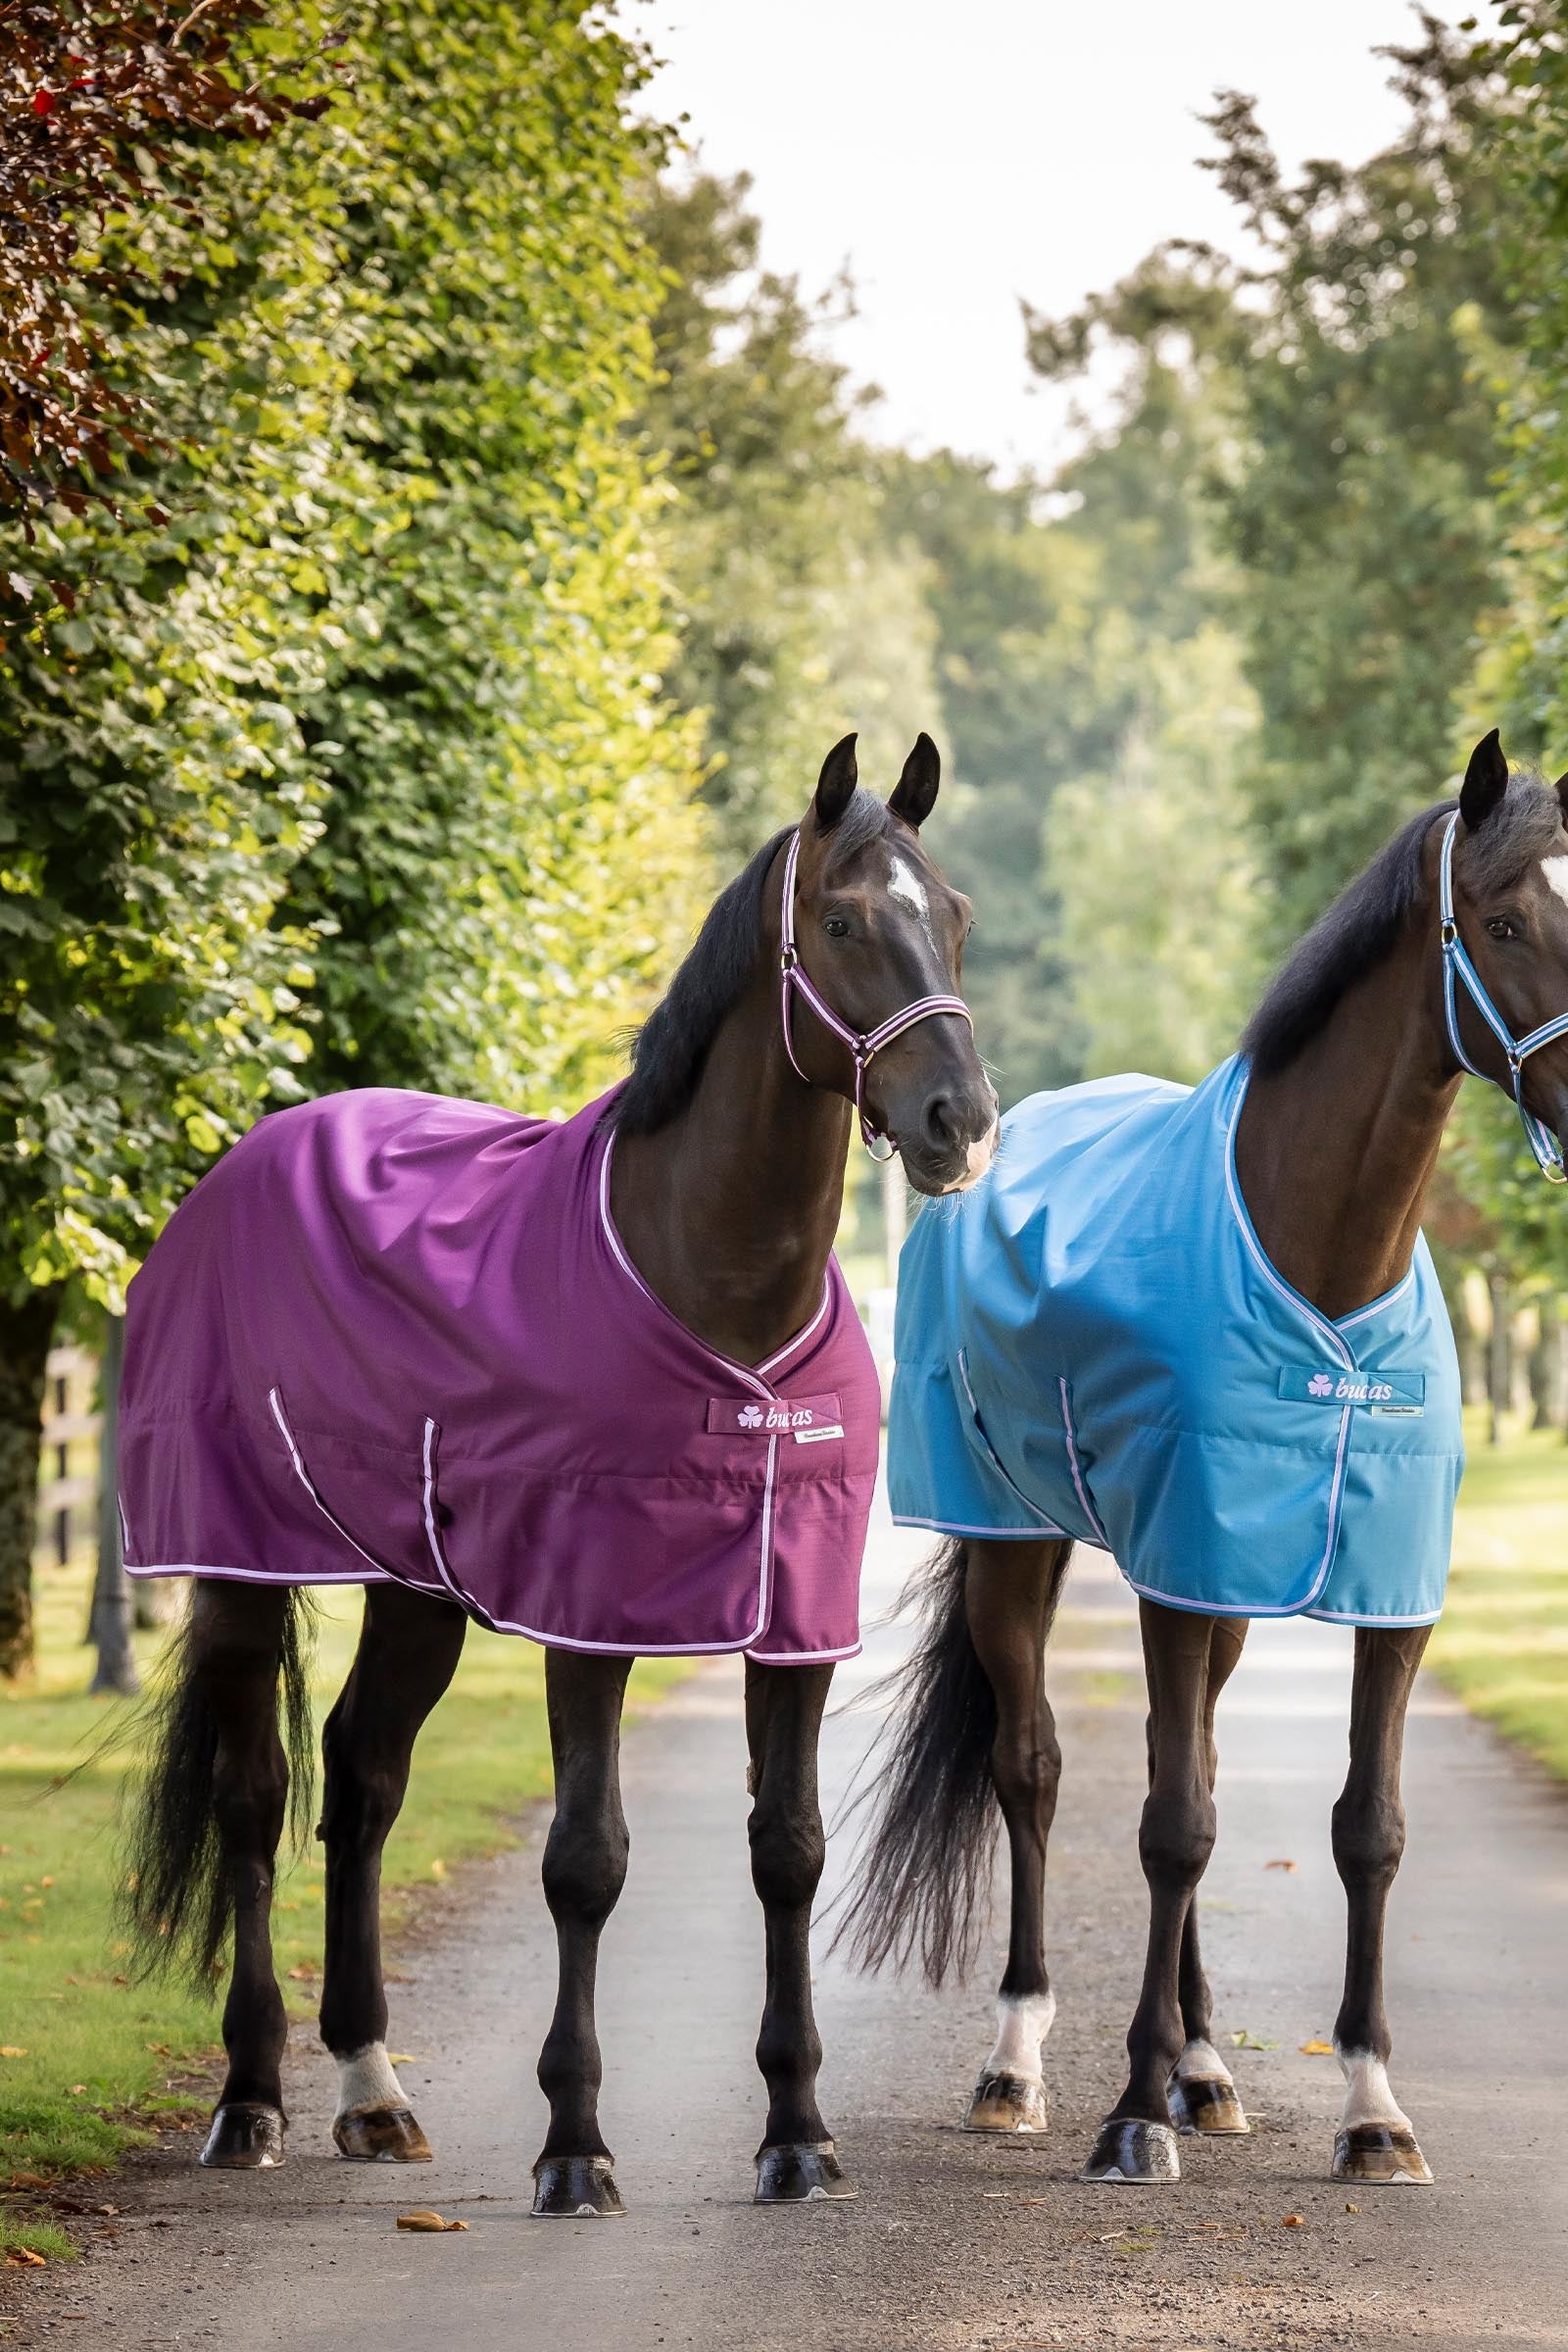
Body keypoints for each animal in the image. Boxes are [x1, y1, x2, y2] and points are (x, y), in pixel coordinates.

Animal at [117, 731, 999, 2216]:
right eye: (839, 923)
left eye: (956, 918)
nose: (961, 1121)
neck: (709, 1284)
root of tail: (242, 1162)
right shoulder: (590, 1613)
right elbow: (586, 1862)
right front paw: (575, 2147)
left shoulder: (796, 1626)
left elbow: (790, 1851)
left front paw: (797, 2133)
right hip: (238, 1570)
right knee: (255, 1797)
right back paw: (250, 2100)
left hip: (413, 1588)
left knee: (363, 1780)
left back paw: (373, 2092)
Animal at [842, 731, 1568, 2190]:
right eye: (1509, 922)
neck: (1317, 1258)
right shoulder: (1178, 1571)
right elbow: (1170, 1827)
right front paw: (1127, 2115)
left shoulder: (1385, 1597)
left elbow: (1362, 1830)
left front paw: (1371, 2110)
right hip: (1018, 1550)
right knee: (1035, 1769)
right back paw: (1019, 2066)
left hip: (1223, 1592)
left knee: (1203, 1771)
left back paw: (1208, 2067)